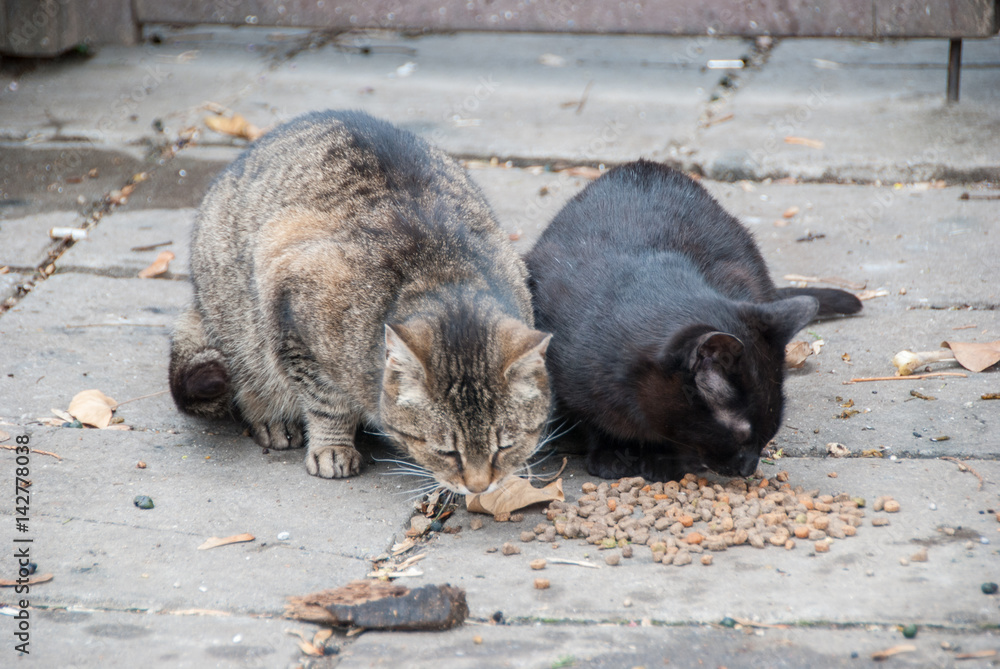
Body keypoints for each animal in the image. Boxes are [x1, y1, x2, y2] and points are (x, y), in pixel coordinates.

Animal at [168, 111, 552, 490]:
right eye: (445, 451)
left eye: (504, 446)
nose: (479, 487)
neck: (445, 276)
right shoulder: (291, 306)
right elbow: (326, 401)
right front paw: (333, 445)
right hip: (239, 324)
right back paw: (273, 419)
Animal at [528, 160, 864, 480]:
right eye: (742, 436)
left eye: (770, 431)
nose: (749, 468)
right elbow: (591, 420)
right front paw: (610, 453)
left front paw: (663, 460)